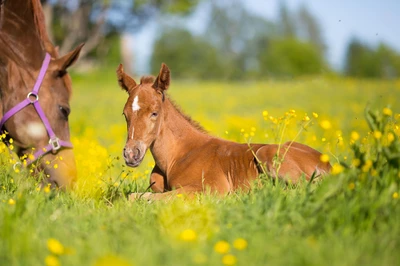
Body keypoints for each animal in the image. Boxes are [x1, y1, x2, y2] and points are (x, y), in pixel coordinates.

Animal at [116, 62, 332, 200]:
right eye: (125, 114)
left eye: (154, 113)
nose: (131, 154)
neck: (176, 156)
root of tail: (328, 164)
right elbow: (135, 196)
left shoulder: (211, 188)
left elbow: (145, 198)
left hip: (267, 153)